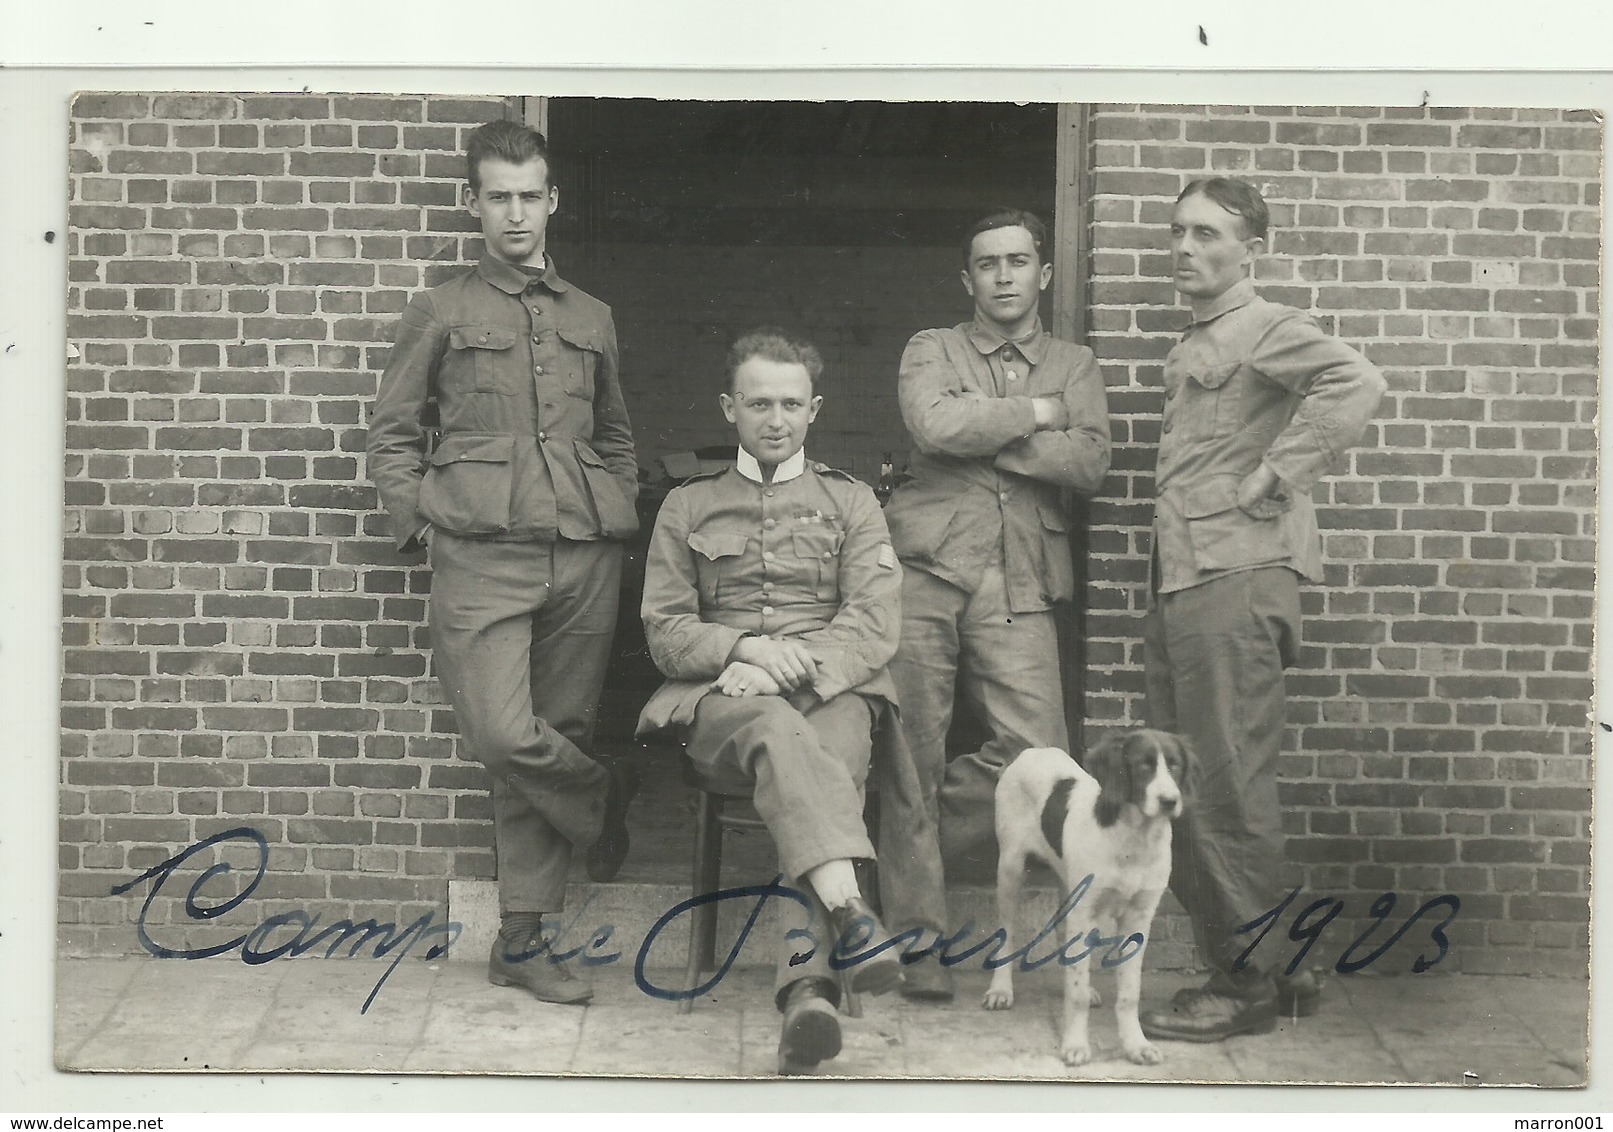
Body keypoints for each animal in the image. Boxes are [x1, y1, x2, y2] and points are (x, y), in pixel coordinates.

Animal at [974, 732, 1193, 1070]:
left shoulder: (1138, 919)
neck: (1134, 838)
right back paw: (1000, 989)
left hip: (1069, 884)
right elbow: (1075, 995)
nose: (1170, 801)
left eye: (1175, 765)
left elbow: (1129, 992)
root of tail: (1031, 751)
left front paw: (1137, 1045)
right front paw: (1075, 1045)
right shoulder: (1086, 910)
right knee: (1007, 932)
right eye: (1143, 766)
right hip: (1010, 869)